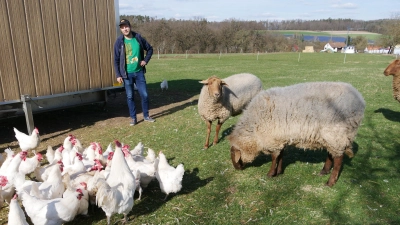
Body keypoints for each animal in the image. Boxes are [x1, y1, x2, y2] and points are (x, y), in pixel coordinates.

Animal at [228, 81, 366, 186]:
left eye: (234, 155)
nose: (237, 169)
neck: (253, 129)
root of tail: (360, 99)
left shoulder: (272, 138)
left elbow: (274, 157)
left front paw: (271, 173)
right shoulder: (280, 138)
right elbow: (280, 156)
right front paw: (279, 171)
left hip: (336, 134)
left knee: (338, 160)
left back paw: (330, 182)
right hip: (331, 138)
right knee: (331, 154)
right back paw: (324, 171)